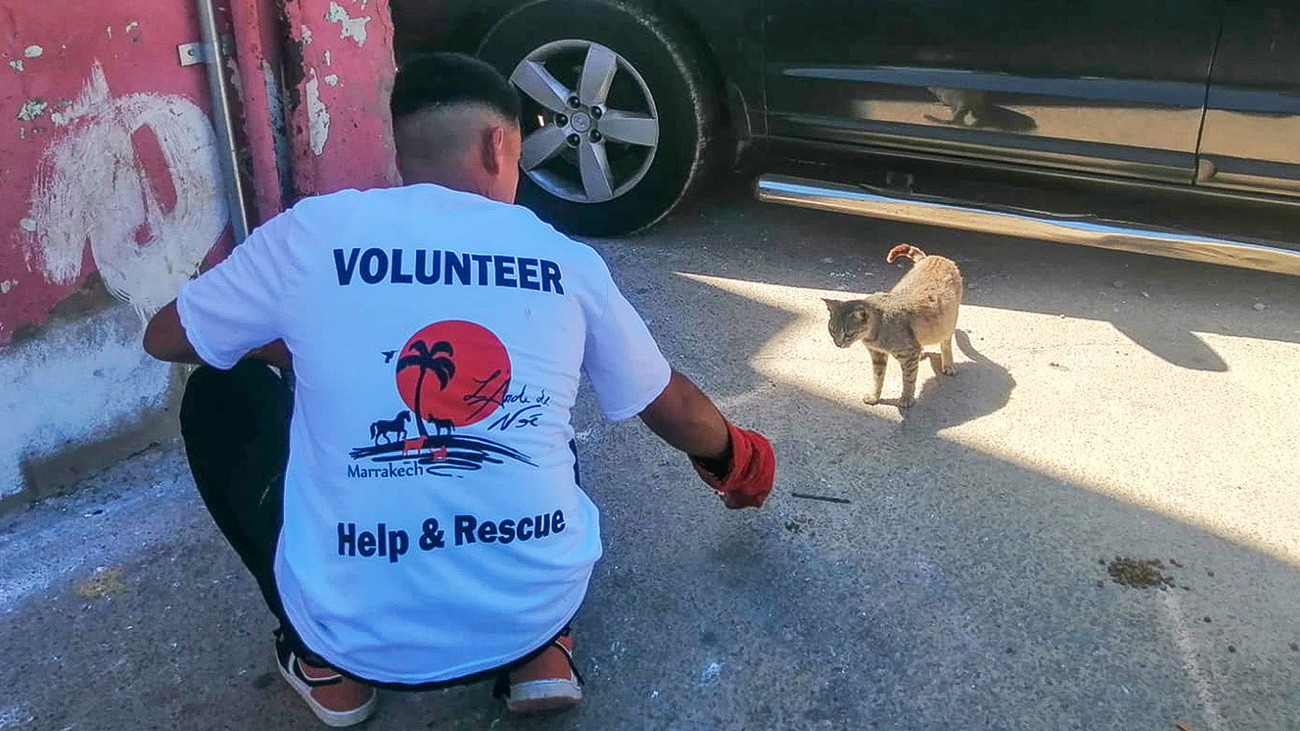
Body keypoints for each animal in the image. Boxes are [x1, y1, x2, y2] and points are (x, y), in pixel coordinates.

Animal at [826, 243, 961, 403]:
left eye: (848, 334)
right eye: (832, 330)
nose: (838, 344)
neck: (875, 332)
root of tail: (934, 257)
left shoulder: (909, 355)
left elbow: (909, 379)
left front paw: (907, 398)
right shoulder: (877, 355)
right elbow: (877, 379)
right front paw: (874, 396)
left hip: (948, 322)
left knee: (946, 342)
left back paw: (948, 363)